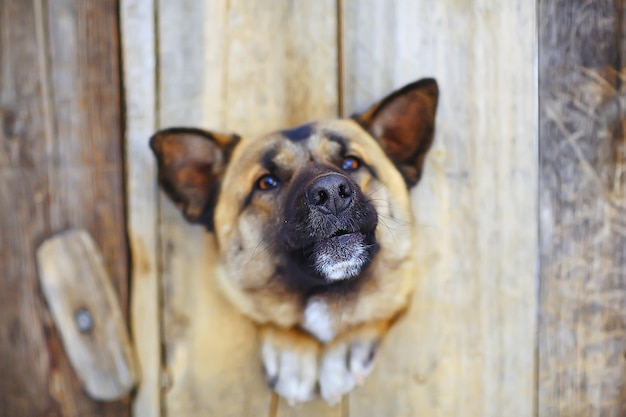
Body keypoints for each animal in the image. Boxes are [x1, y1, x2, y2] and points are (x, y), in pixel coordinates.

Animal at [149, 78, 436, 404]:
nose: (331, 193)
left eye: (351, 163)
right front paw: (292, 356)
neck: (325, 291)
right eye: (267, 182)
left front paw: (346, 347)